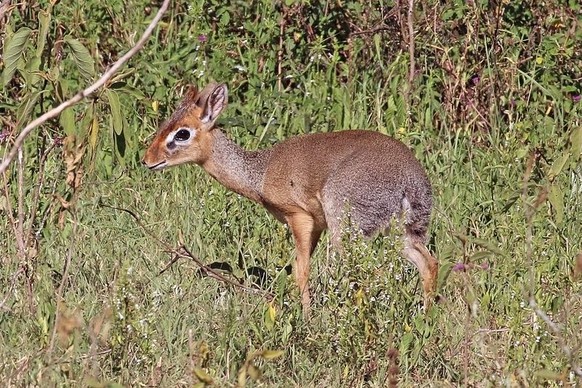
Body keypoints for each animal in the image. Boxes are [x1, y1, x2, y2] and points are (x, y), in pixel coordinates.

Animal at [144, 82, 440, 316]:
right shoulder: (316, 227)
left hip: (348, 232)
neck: (260, 172)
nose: (147, 160)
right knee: (429, 263)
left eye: (182, 133)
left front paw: (307, 318)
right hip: (402, 232)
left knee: (370, 271)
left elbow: (301, 271)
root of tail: (409, 179)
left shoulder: (299, 218)